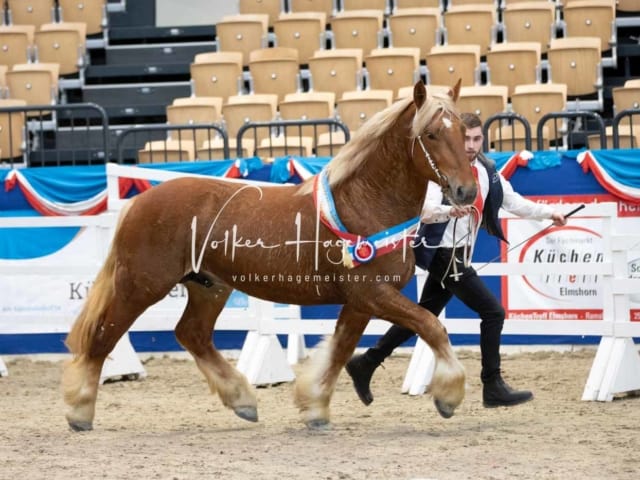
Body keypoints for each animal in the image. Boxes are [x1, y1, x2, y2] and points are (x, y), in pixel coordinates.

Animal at [62, 81, 478, 432]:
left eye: (462, 132)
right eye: (431, 134)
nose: (467, 191)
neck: (365, 205)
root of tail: (139, 201)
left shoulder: (360, 301)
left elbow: (340, 350)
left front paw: (314, 407)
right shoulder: (373, 294)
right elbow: (430, 326)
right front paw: (448, 396)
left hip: (208, 286)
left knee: (191, 334)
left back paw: (242, 400)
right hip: (141, 286)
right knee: (103, 336)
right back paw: (79, 411)